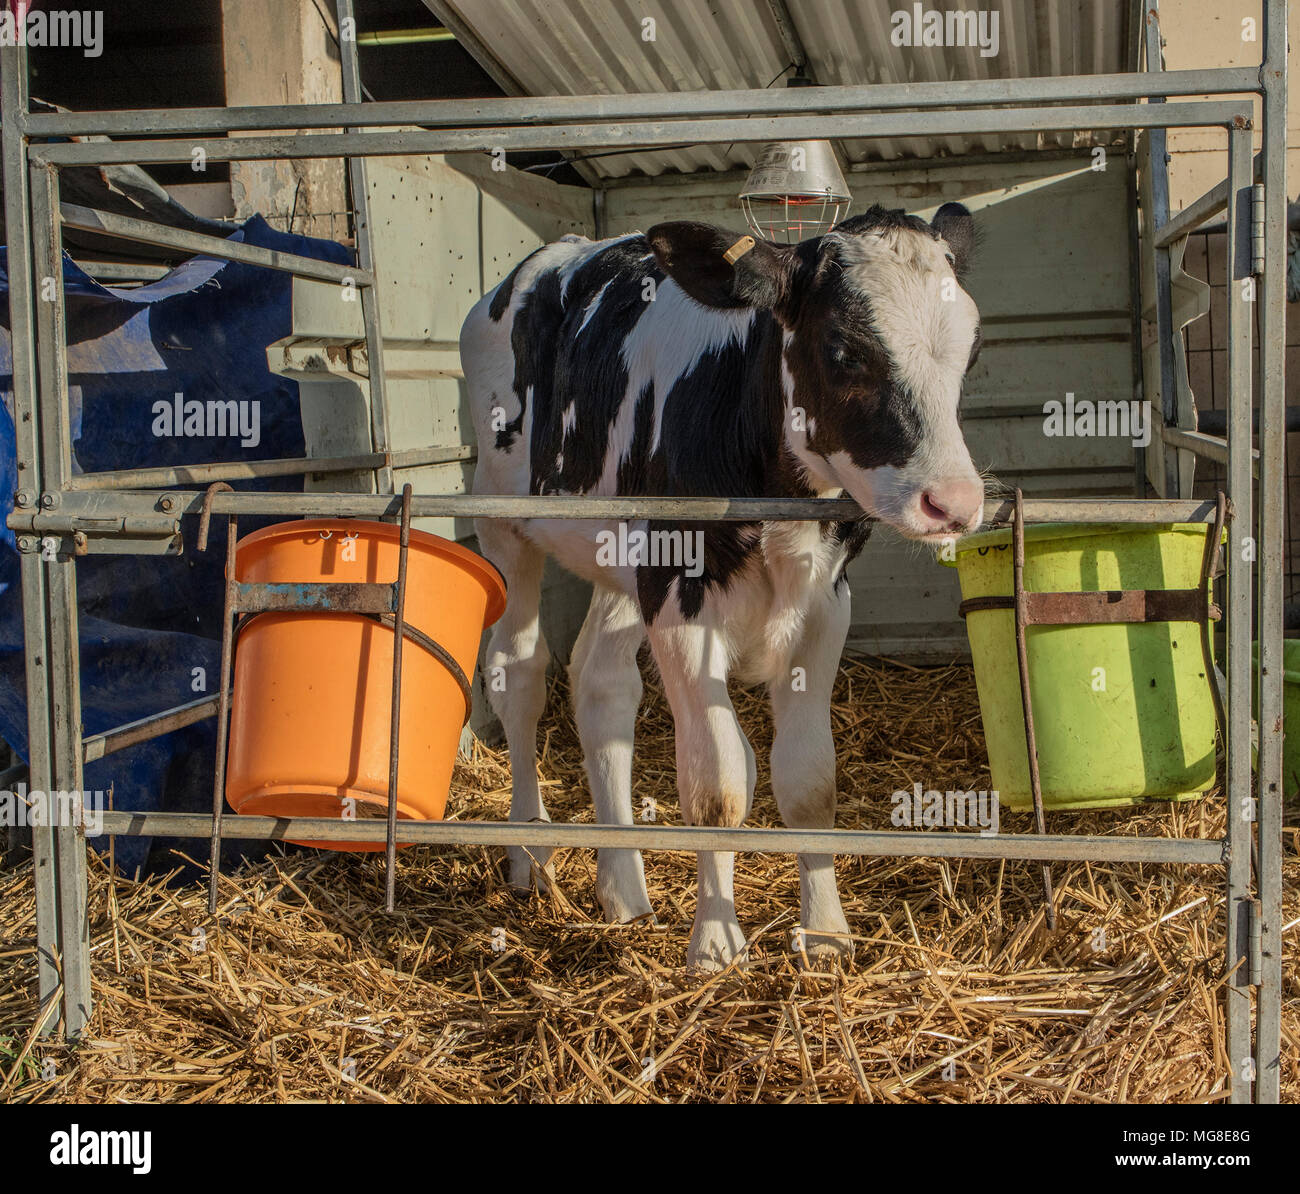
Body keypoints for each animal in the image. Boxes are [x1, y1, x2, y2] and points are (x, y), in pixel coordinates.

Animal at [461, 204, 985, 971]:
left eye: (971, 352)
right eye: (844, 350)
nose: (953, 502)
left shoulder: (825, 603)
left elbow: (808, 780)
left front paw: (825, 932)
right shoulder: (681, 601)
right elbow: (717, 784)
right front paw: (713, 939)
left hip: (624, 562)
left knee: (601, 684)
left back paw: (623, 890)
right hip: (506, 527)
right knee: (521, 669)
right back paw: (530, 849)